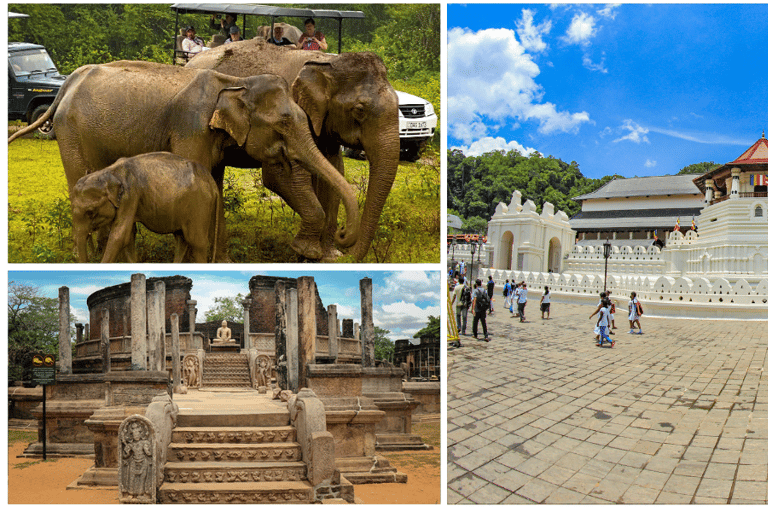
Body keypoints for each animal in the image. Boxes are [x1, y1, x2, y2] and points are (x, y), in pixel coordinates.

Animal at [71, 152, 219, 264]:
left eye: (90, 212)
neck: (109, 171)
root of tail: (213, 183)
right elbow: (129, 236)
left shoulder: (130, 196)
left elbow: (120, 236)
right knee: (181, 240)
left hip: (199, 205)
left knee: (196, 242)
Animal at [188, 39, 400, 262]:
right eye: (359, 110)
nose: (343, 237)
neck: (327, 62)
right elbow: (279, 177)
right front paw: (307, 251)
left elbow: (334, 173)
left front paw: (328, 257)